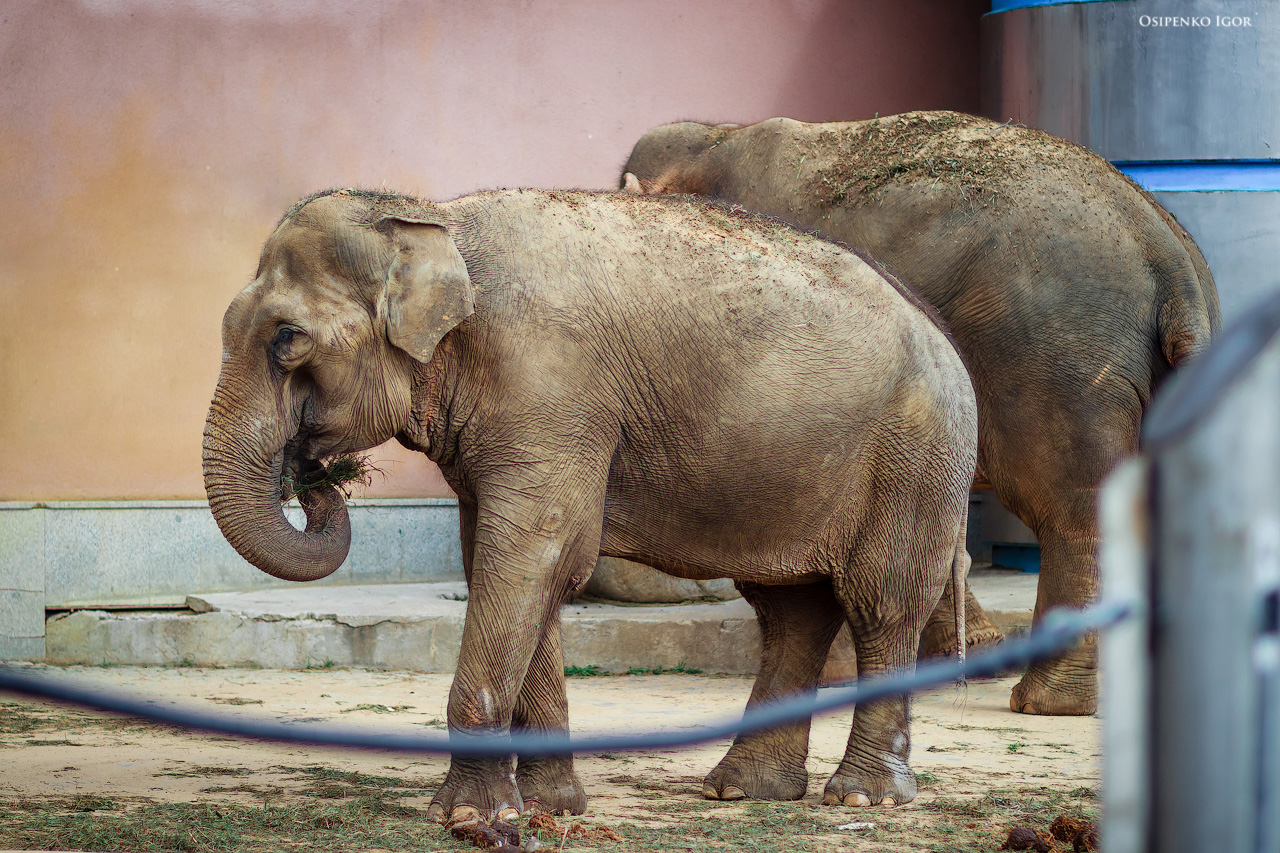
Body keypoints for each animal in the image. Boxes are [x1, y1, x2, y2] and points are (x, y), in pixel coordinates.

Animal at [202, 187, 978, 821]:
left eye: (286, 338)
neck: (430, 219)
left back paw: (862, 797)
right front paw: (552, 808)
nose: (316, 475)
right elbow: (516, 563)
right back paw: (742, 790)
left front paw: (468, 816)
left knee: (881, 601)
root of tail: (944, 335)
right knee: (792, 610)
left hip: (915, 460)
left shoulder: (550, 390)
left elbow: (534, 555)